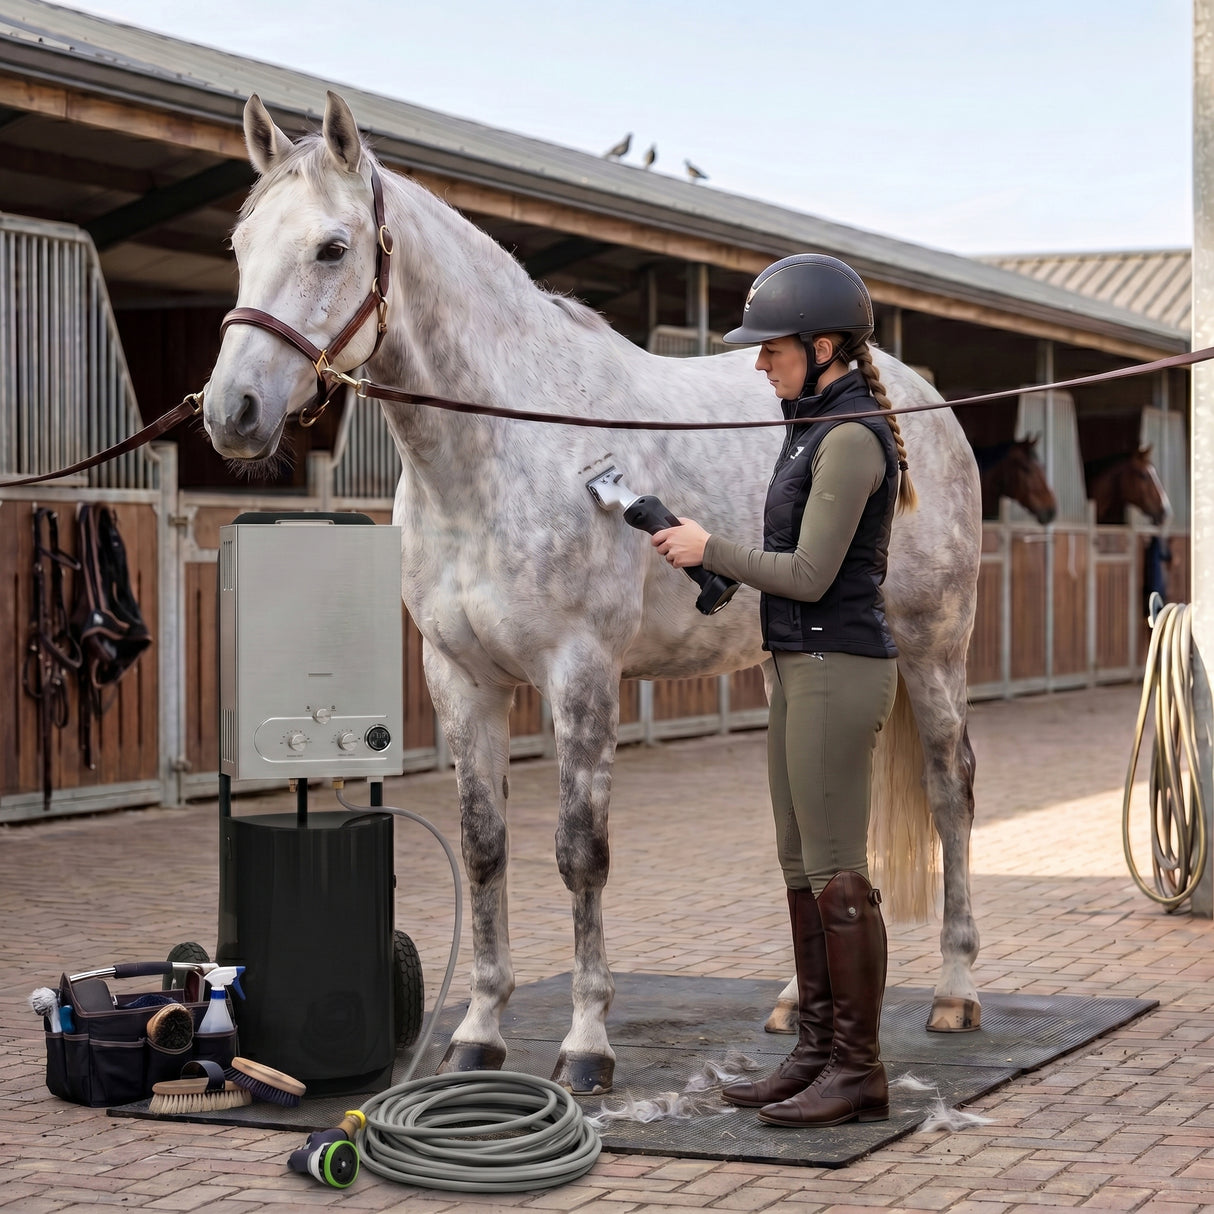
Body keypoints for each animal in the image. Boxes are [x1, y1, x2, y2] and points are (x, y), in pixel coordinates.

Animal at [201, 91, 984, 1094]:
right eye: (240, 242)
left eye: (333, 247)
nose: (231, 413)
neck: (502, 448)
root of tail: (921, 402)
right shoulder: (461, 677)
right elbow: (484, 848)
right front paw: (479, 1032)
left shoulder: (579, 673)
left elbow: (580, 853)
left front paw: (585, 1045)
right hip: (792, 667)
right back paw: (786, 1002)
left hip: (931, 647)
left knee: (950, 789)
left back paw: (956, 991)